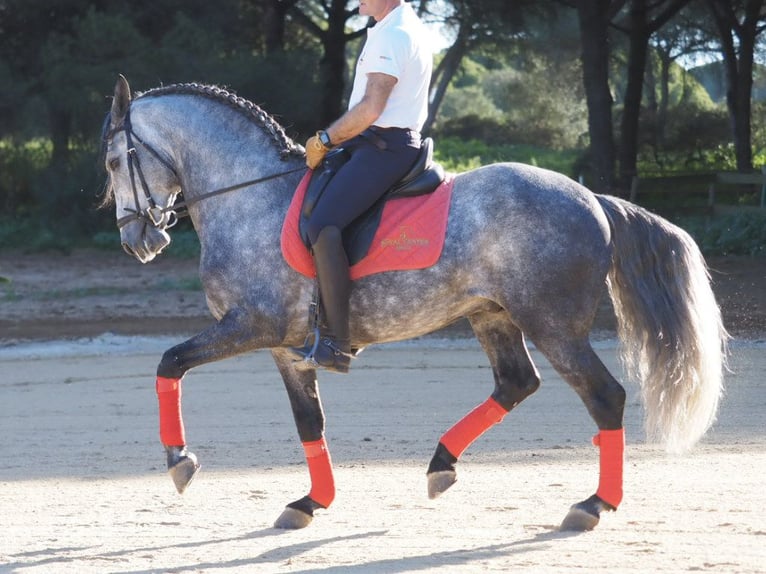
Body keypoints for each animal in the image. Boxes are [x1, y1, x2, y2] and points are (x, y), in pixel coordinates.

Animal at [102, 74, 732, 532]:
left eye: (112, 162)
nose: (138, 241)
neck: (248, 196)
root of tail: (593, 199)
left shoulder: (250, 325)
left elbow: (170, 363)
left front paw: (179, 461)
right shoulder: (286, 346)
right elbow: (309, 421)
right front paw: (310, 502)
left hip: (554, 325)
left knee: (604, 397)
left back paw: (592, 505)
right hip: (492, 314)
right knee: (516, 384)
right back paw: (441, 465)